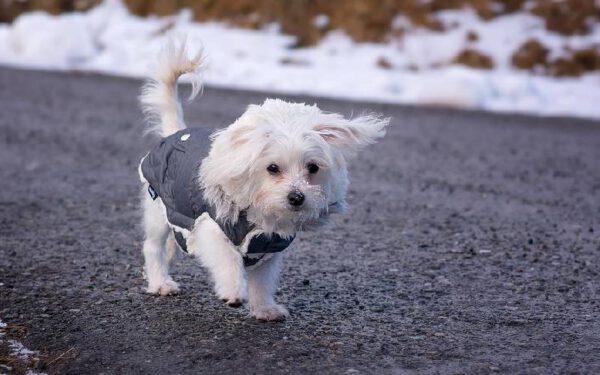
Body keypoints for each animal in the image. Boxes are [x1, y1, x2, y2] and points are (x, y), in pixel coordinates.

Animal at [137, 41, 390, 324]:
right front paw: (233, 290)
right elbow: (228, 260)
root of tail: (175, 133)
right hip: (156, 209)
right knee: (152, 247)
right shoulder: (211, 228)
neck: (260, 218)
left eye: (313, 168)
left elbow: (262, 282)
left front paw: (264, 309)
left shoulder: (267, 248)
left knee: (173, 242)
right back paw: (160, 282)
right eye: (272, 168)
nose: (297, 197)